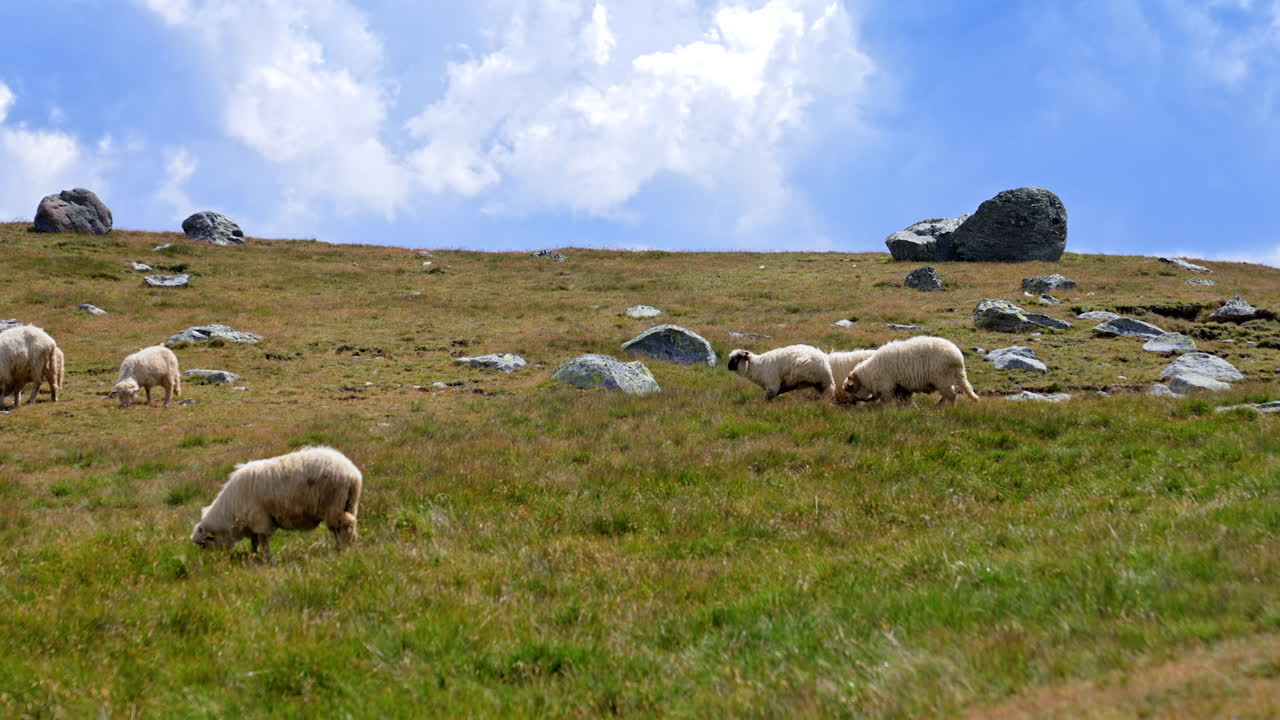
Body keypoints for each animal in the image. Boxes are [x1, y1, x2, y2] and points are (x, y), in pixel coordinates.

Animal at [191, 446, 362, 563]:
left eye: (203, 544)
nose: (210, 562)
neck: (230, 512)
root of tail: (352, 473)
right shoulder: (253, 523)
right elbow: (254, 541)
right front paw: (254, 555)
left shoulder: (260, 519)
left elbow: (263, 541)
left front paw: (269, 559)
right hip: (347, 504)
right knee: (338, 528)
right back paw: (339, 547)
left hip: (333, 504)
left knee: (347, 525)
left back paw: (344, 548)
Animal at [841, 336, 980, 407]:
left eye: (850, 388)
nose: (850, 403)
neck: (869, 374)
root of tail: (958, 357)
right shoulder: (902, 388)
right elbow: (907, 400)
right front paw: (912, 409)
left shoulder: (887, 386)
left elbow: (886, 401)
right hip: (946, 379)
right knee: (951, 393)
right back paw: (938, 406)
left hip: (942, 378)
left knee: (951, 395)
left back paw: (947, 408)